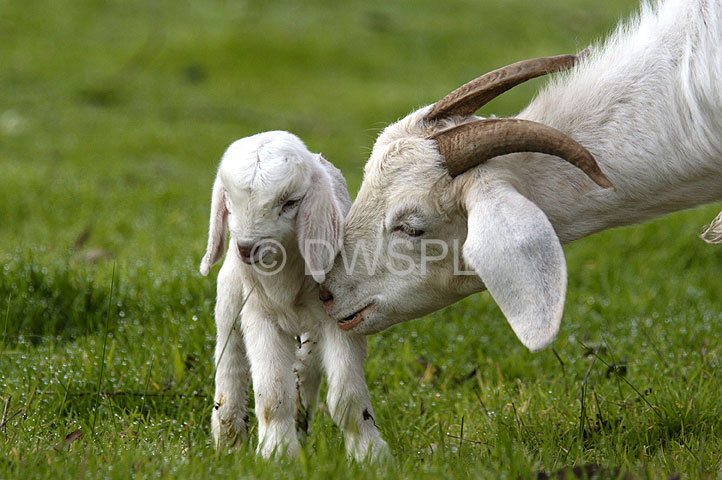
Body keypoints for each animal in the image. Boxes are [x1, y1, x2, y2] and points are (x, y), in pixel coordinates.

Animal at [197, 129, 388, 460]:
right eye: (229, 201)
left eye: (290, 203)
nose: (246, 248)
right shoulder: (259, 315)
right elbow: (272, 392)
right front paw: (277, 453)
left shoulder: (340, 315)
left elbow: (347, 396)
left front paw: (369, 454)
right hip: (230, 300)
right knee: (229, 361)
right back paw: (228, 441)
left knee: (305, 369)